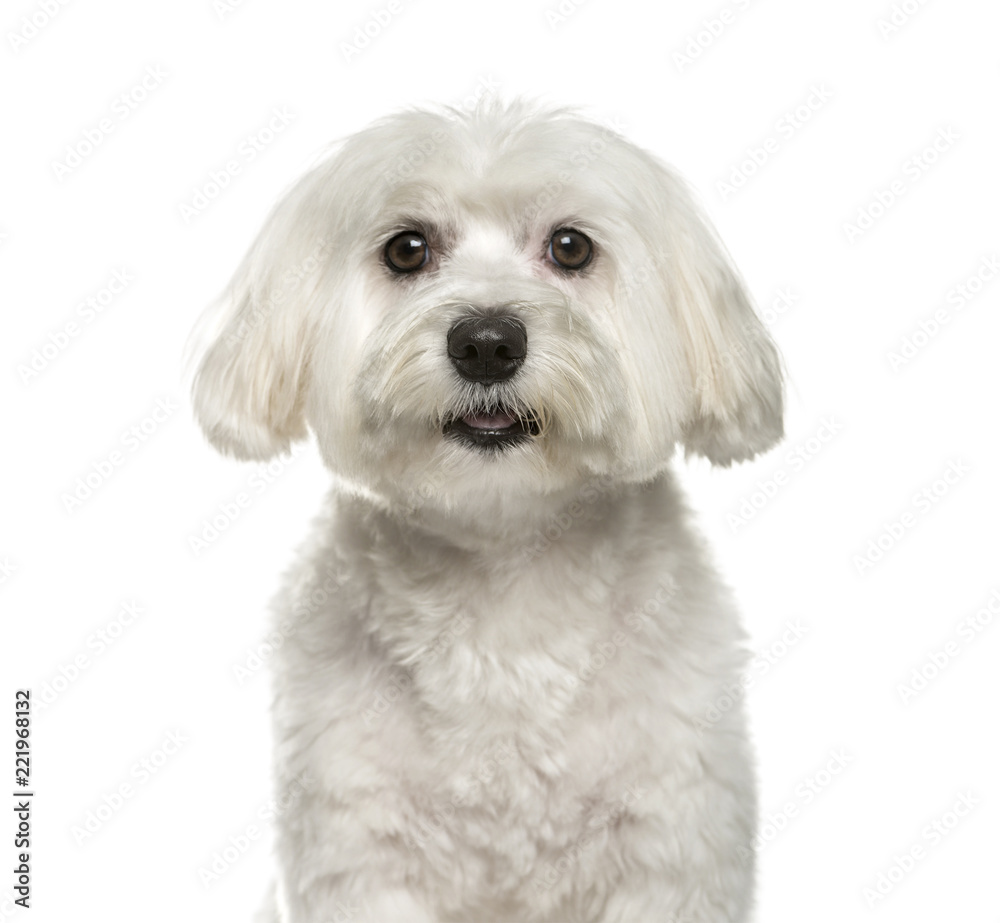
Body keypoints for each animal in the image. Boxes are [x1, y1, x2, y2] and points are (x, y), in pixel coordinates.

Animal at [188, 101, 780, 923]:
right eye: (407, 249)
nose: (488, 342)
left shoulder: (671, 844)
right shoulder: (357, 847)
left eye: (571, 246)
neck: (503, 583)